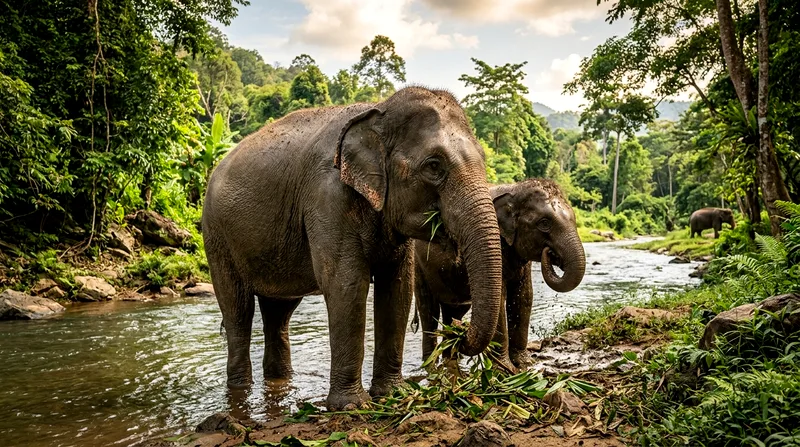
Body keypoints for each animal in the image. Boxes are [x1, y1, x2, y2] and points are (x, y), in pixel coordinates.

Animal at [202, 87, 504, 410]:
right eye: (434, 166)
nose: (458, 332)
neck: (379, 109)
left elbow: (397, 286)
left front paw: (392, 393)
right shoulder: (327, 197)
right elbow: (346, 284)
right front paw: (351, 405)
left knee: (279, 312)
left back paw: (279, 381)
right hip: (216, 237)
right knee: (237, 309)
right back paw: (241, 388)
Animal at [413, 179, 586, 369]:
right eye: (544, 223)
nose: (549, 252)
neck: (515, 188)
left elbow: (524, 297)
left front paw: (525, 363)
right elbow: (501, 300)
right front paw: (504, 369)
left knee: (453, 312)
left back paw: (452, 351)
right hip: (419, 268)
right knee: (428, 310)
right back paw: (431, 366)